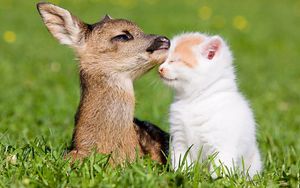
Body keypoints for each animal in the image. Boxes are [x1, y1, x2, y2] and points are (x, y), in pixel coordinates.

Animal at [159, 33, 262, 178]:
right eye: (164, 60)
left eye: (175, 60)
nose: (160, 69)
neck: (194, 100)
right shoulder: (179, 139)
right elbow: (182, 160)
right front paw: (183, 175)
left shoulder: (221, 143)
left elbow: (220, 166)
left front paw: (218, 179)